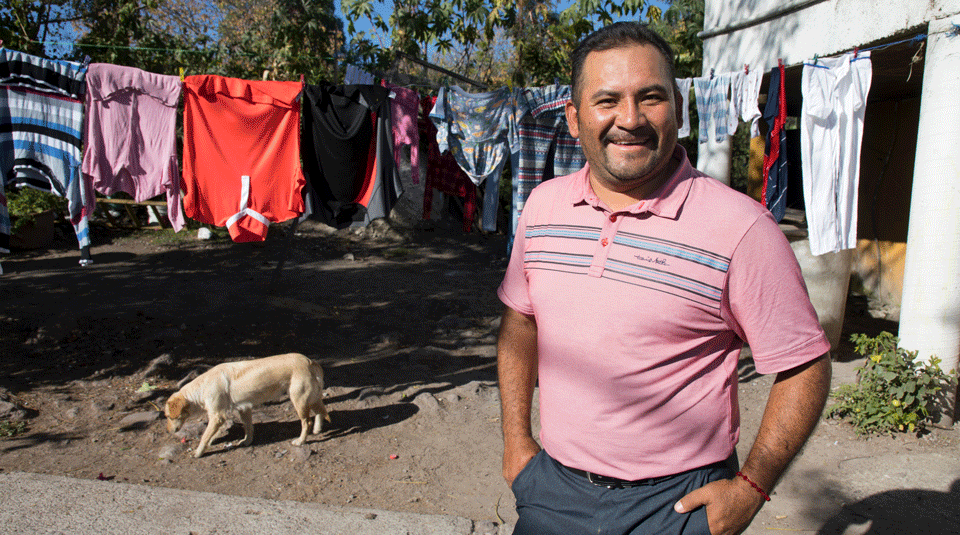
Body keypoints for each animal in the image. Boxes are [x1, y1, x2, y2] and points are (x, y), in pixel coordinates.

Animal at [165, 354, 330, 458]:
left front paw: (198, 452)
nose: (168, 431)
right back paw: (317, 429)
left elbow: (205, 436)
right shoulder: (243, 408)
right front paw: (247, 441)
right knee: (321, 412)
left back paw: (301, 441)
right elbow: (248, 427)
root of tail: (309, 361)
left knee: (307, 422)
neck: (202, 387)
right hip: (309, 398)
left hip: (298, 400)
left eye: (169, 417)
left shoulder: (218, 416)